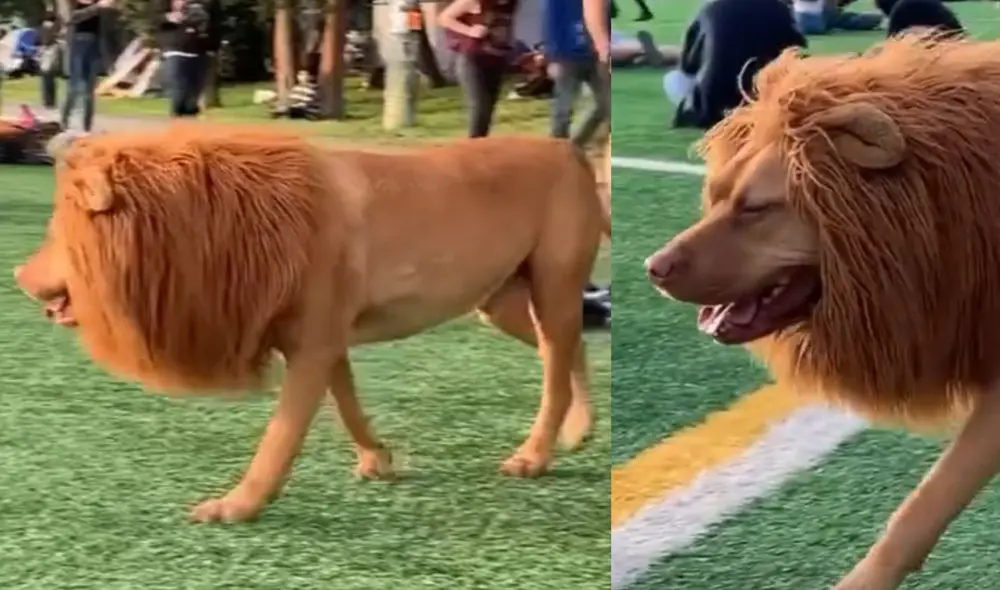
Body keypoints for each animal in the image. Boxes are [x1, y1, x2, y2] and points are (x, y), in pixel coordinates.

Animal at [14, 124, 607, 524]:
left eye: (55, 231)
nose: (18, 276)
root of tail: (568, 149)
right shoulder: (325, 341)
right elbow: (347, 406)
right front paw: (378, 460)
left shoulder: (312, 347)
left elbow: (278, 439)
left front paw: (236, 507)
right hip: (502, 301)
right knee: (568, 350)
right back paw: (579, 429)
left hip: (552, 286)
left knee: (555, 370)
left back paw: (534, 456)